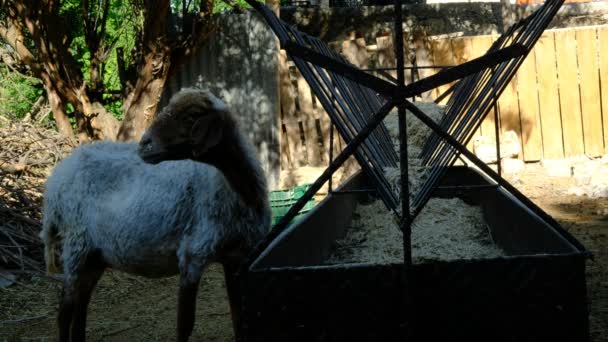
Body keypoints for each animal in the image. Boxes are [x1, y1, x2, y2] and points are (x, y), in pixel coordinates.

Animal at [41, 89, 270, 342]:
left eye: (192, 116)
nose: (144, 144)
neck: (239, 191)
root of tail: (55, 179)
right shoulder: (193, 254)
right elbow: (185, 324)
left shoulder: (236, 258)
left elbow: (238, 318)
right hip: (76, 245)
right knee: (64, 313)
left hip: (95, 254)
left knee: (81, 308)